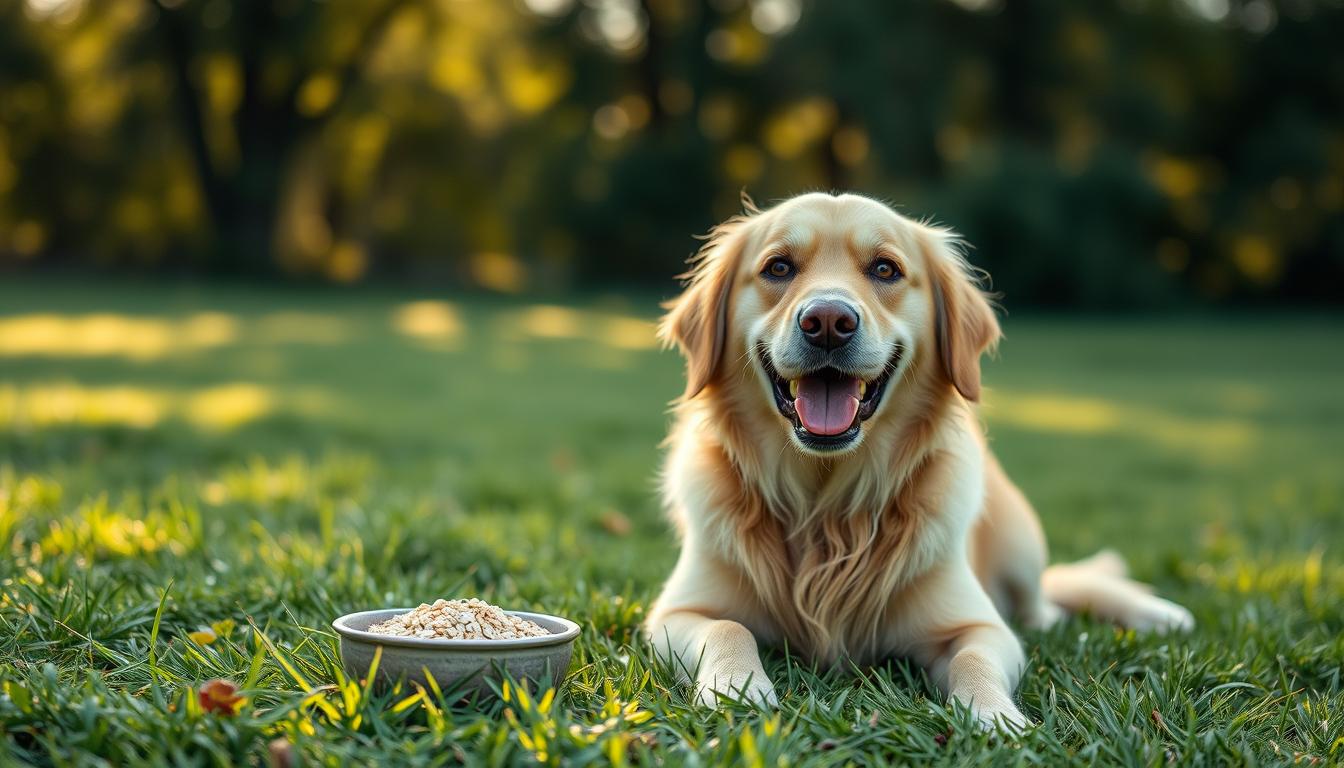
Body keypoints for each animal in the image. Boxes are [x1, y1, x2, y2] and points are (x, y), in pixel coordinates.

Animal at [645, 193, 1193, 731]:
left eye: (885, 269)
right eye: (778, 267)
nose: (828, 322)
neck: (827, 510)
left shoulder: (980, 626)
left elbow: (975, 659)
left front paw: (996, 716)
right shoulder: (672, 616)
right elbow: (727, 628)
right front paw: (734, 688)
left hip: (1021, 550)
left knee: (1050, 607)